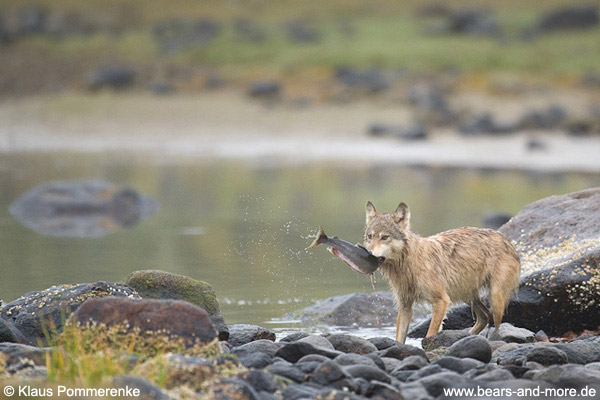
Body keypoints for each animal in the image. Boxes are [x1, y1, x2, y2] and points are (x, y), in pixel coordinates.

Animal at [360, 203, 520, 344]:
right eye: (370, 237)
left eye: (384, 237)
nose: (368, 253)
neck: (410, 265)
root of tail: (506, 240)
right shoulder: (405, 306)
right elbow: (400, 338)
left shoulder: (441, 301)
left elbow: (430, 333)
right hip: (466, 295)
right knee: (485, 316)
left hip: (495, 298)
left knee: (495, 322)